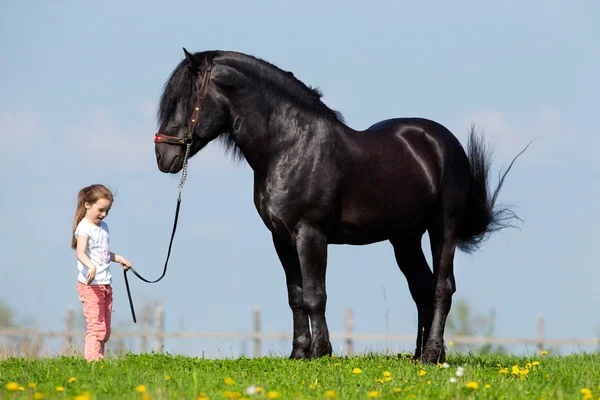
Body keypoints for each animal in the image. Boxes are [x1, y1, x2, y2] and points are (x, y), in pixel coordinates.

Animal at [154, 48, 524, 364]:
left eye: (187, 99)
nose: (162, 155)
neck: (289, 146)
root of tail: (443, 141)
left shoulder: (311, 235)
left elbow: (315, 294)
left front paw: (321, 351)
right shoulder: (281, 239)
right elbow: (295, 296)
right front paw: (298, 353)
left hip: (442, 228)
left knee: (443, 287)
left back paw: (433, 354)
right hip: (405, 238)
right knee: (422, 287)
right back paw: (418, 355)